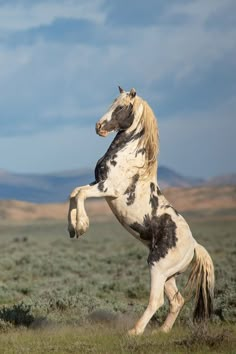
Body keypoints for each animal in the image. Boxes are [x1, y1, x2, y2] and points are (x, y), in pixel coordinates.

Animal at [67, 85, 215, 334]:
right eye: (112, 102)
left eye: (121, 107)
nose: (99, 126)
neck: (130, 158)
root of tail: (194, 246)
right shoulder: (98, 182)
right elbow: (74, 192)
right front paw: (72, 228)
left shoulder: (108, 188)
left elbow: (80, 195)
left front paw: (82, 226)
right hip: (167, 275)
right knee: (177, 301)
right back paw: (161, 331)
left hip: (157, 267)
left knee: (157, 301)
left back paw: (134, 332)